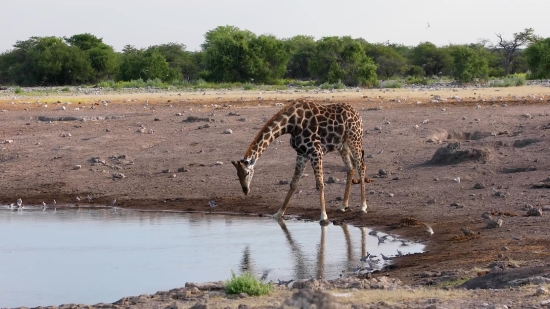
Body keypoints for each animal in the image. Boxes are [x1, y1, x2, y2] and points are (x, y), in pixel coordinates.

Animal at [233, 98, 370, 221]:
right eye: (237, 175)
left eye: (247, 173)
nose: (245, 190)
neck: (291, 124)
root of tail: (358, 114)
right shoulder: (301, 154)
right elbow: (293, 184)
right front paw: (278, 214)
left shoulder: (316, 152)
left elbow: (320, 184)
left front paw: (323, 216)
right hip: (343, 145)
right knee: (351, 167)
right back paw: (343, 206)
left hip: (355, 139)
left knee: (361, 166)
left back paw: (363, 207)